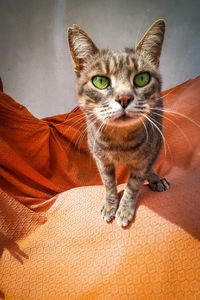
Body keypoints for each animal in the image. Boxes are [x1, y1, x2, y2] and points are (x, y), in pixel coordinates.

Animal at [68, 19, 170, 226]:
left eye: (142, 78)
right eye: (100, 81)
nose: (124, 98)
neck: (120, 142)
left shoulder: (145, 159)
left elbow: (133, 185)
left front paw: (124, 209)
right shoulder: (101, 159)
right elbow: (108, 183)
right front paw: (110, 205)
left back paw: (156, 179)